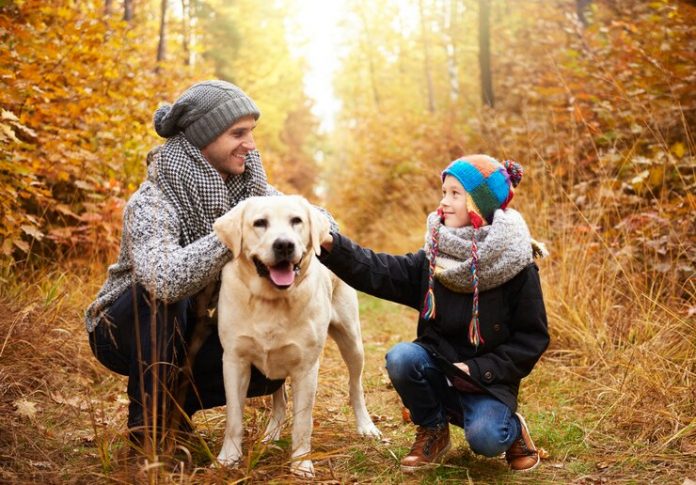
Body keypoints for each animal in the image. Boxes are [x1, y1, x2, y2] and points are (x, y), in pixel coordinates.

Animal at [215, 194, 384, 476]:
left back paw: (366, 426)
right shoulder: (234, 362)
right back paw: (270, 435)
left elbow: (303, 422)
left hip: (352, 342)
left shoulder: (306, 368)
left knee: (355, 386)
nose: (284, 244)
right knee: (280, 401)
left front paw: (301, 463)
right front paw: (228, 458)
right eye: (259, 223)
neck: (272, 300)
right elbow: (234, 418)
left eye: (297, 220)